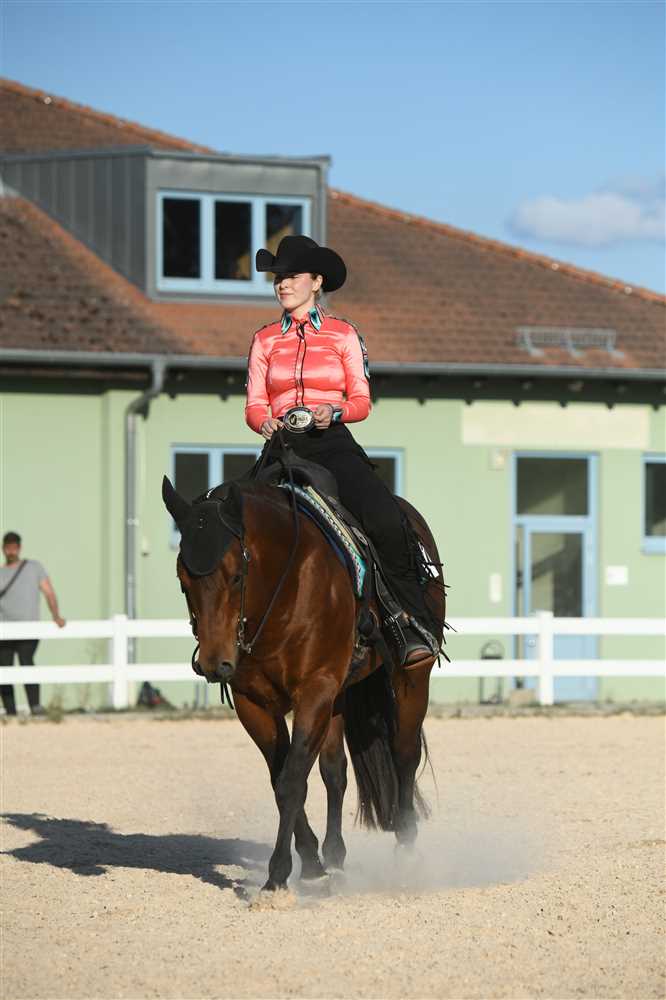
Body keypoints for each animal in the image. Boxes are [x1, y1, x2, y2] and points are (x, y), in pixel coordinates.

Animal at [162, 463, 446, 893]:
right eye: (183, 579)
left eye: (236, 574)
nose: (214, 663)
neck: (285, 588)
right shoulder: (254, 703)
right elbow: (282, 779)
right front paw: (312, 863)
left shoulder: (315, 690)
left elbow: (293, 779)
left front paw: (278, 876)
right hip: (340, 695)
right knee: (335, 770)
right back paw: (335, 856)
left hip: (411, 678)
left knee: (404, 754)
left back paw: (405, 851)